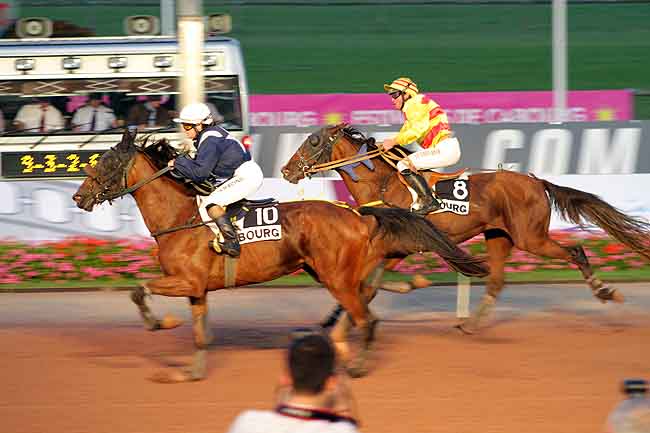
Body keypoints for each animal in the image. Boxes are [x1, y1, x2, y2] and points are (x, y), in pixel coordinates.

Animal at [72, 128, 486, 382]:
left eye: (107, 163)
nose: (78, 196)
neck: (181, 218)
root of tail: (358, 213)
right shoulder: (196, 288)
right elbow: (201, 335)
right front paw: (192, 371)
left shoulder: (184, 280)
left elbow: (138, 290)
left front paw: (160, 323)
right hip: (330, 272)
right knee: (367, 301)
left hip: (335, 277)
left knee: (366, 318)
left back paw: (355, 365)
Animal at [280, 123, 648, 332]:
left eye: (313, 141)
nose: (286, 171)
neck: (383, 184)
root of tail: (536, 181)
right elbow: (362, 284)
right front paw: (334, 318)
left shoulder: (398, 247)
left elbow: (369, 285)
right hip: (499, 236)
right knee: (497, 280)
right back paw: (472, 323)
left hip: (531, 237)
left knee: (576, 250)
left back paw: (604, 290)